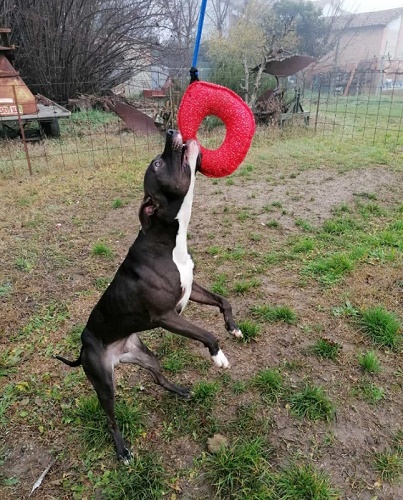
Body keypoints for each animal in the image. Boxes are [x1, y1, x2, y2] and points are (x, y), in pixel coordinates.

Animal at [57, 131, 243, 462]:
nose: (170, 132)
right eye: (157, 163)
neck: (167, 240)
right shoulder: (168, 316)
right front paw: (218, 356)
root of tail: (82, 350)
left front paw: (232, 327)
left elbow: (224, 300)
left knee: (157, 377)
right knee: (110, 418)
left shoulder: (191, 289)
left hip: (144, 355)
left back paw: (181, 391)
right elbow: (206, 334)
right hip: (103, 383)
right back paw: (122, 451)